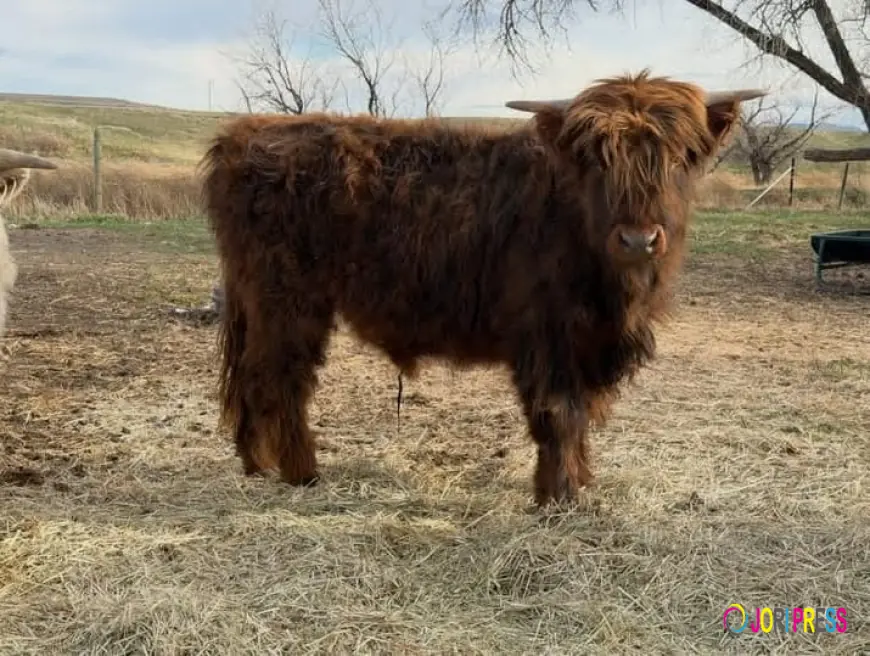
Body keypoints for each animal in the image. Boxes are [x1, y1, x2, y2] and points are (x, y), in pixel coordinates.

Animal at [199, 70, 764, 507]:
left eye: (680, 157)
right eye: (596, 158)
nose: (638, 239)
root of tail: (243, 134)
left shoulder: (587, 345)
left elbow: (583, 415)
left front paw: (581, 482)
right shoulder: (545, 336)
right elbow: (559, 414)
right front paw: (558, 498)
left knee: (250, 375)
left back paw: (255, 463)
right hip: (289, 302)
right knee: (281, 379)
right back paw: (303, 473)